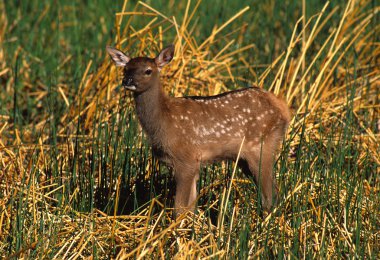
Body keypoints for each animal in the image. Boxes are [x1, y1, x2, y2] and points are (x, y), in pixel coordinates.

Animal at [107, 44, 290, 215]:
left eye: (148, 71)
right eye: (126, 69)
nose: (128, 81)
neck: (163, 121)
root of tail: (283, 108)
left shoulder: (186, 159)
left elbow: (180, 208)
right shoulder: (191, 164)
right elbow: (190, 207)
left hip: (261, 145)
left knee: (270, 194)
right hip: (245, 157)